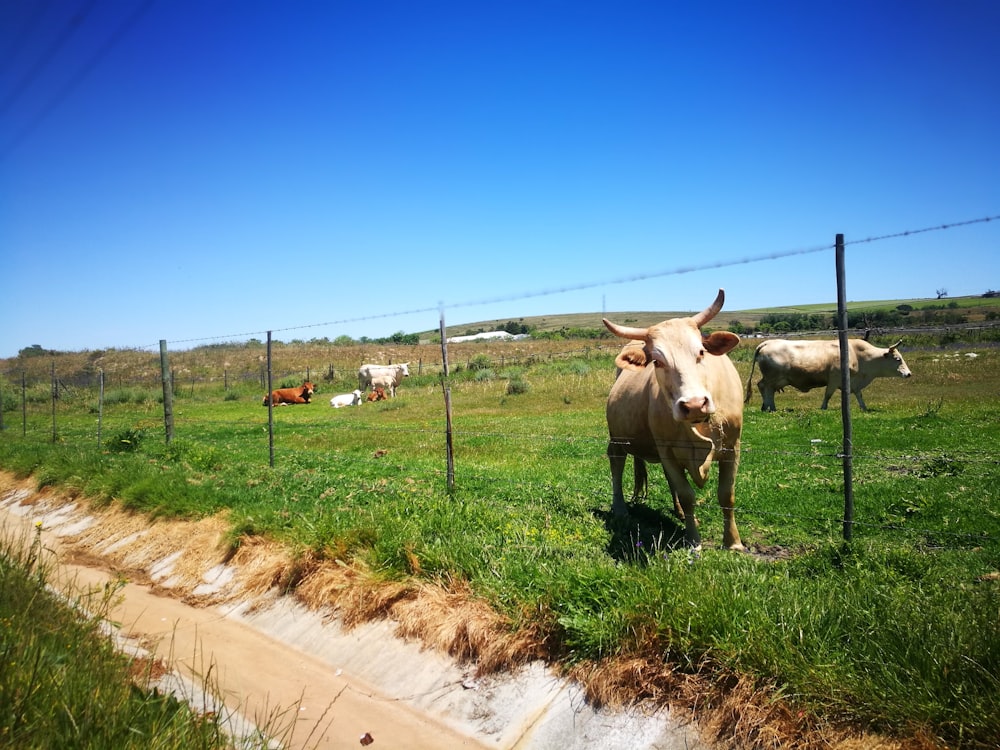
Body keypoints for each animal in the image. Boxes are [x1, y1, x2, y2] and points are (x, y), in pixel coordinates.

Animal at [600, 288, 744, 552]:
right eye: (657, 361)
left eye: (701, 352)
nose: (694, 404)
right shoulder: (666, 450)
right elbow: (687, 495)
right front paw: (694, 541)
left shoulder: (732, 447)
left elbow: (726, 495)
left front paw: (733, 542)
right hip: (618, 438)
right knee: (616, 463)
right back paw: (620, 508)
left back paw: (680, 514)